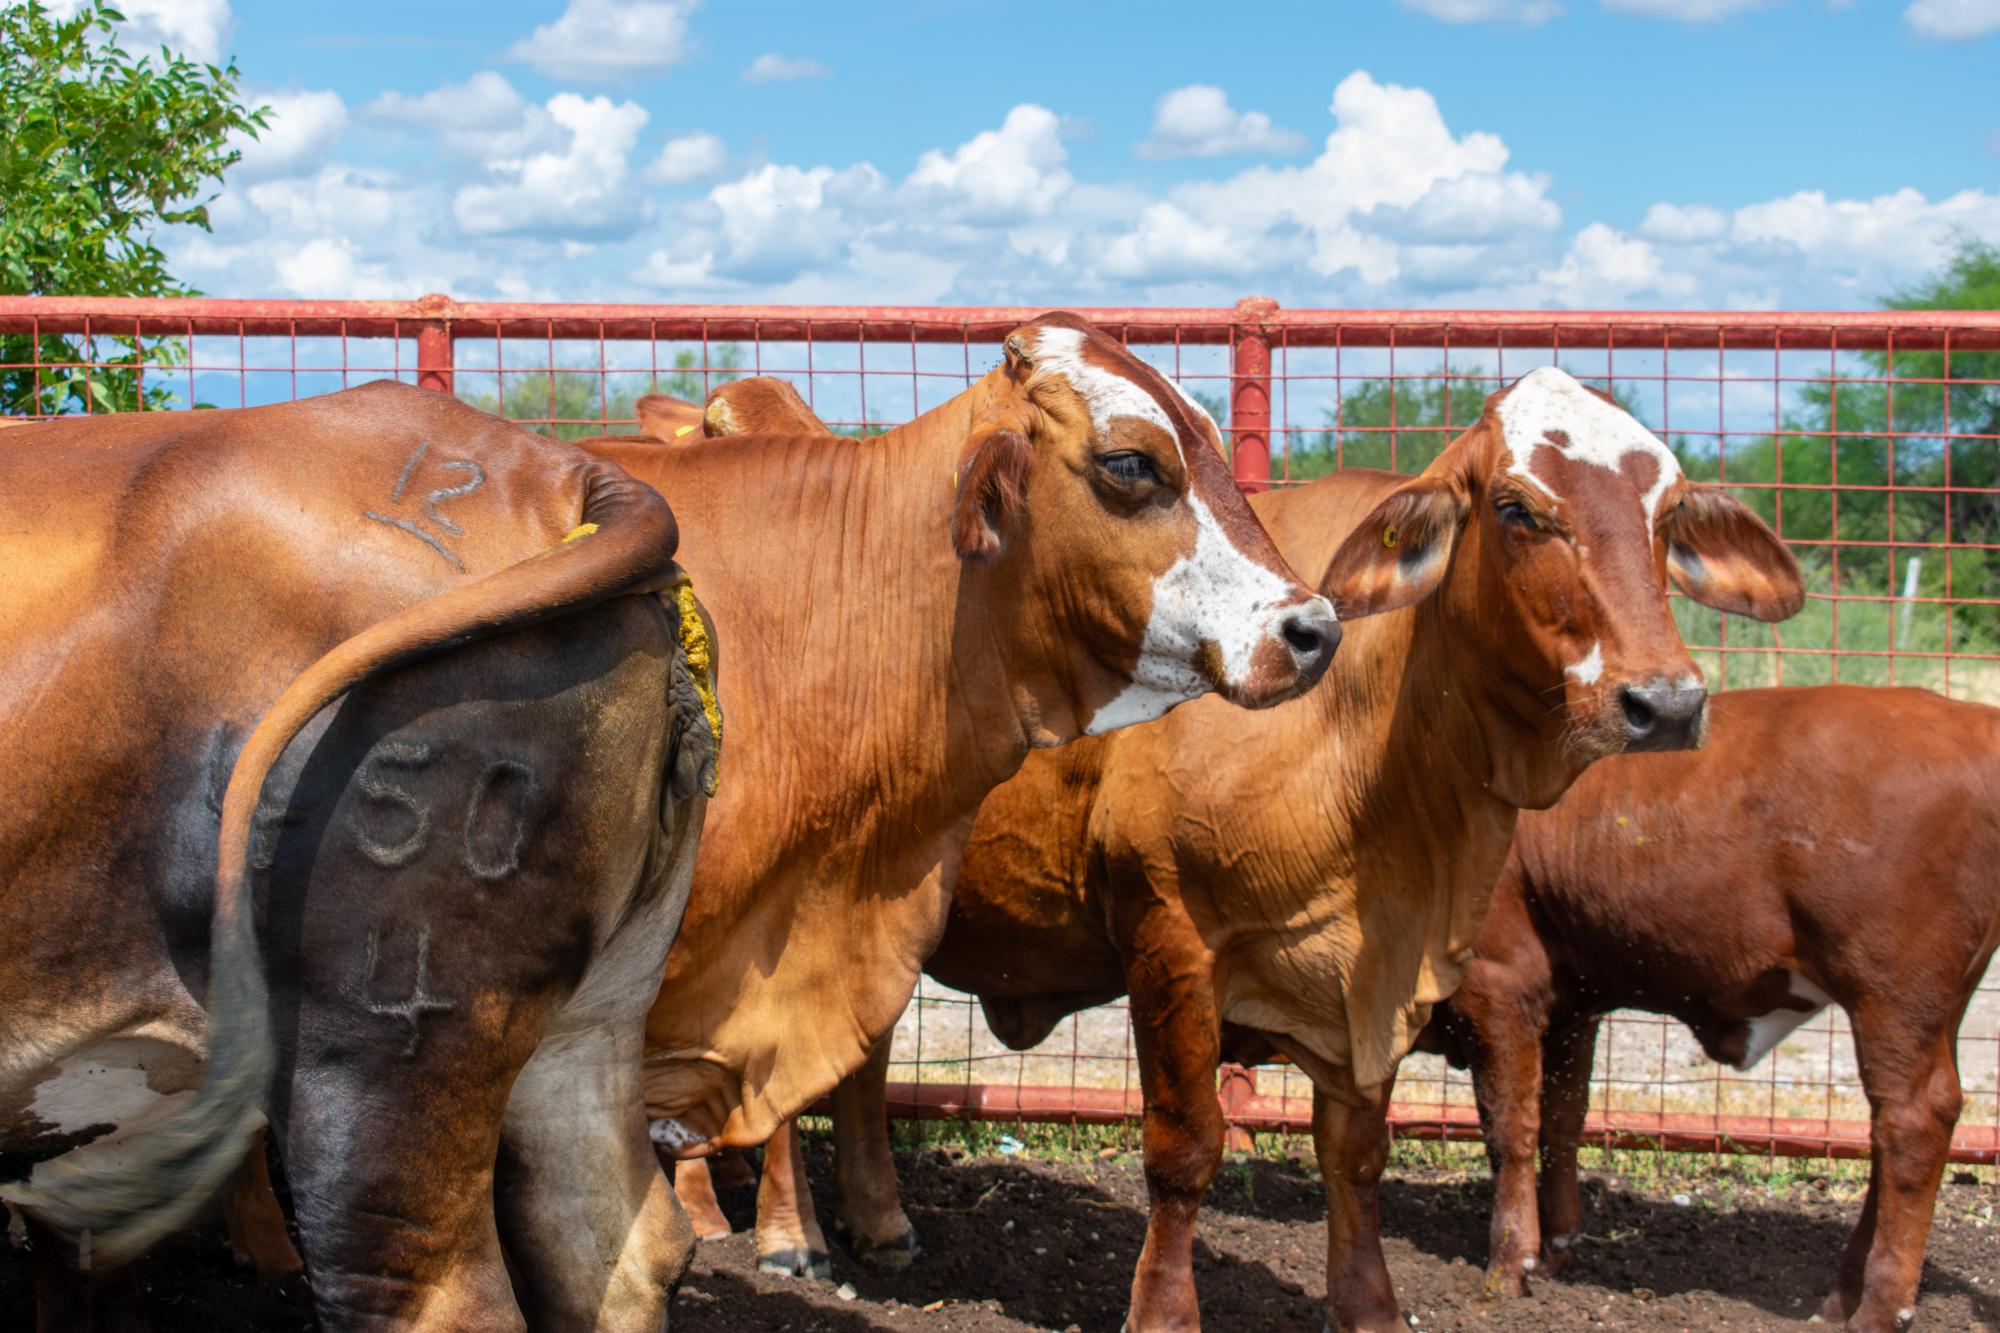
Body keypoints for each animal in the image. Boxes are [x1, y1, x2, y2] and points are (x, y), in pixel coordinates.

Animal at [820, 366, 1808, 1328]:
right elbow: (1186, 1148)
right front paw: (1165, 1310)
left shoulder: (1371, 979)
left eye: (1667, 515)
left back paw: (879, 1223)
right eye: (1517, 509)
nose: (1666, 703)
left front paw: (1368, 1306)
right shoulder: (1171, 936)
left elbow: (1357, 1153)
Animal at [1424, 684, 2000, 1328]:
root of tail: (1971, 719)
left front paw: (1506, 1269)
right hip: (1939, 1008)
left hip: (1892, 997)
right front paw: (1556, 1252)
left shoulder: (1497, 983)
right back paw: (1840, 1297)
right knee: (1905, 1121)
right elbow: (1562, 1122)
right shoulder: (1572, 1008)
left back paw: (1877, 1308)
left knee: (1911, 1121)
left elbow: (1509, 1129)